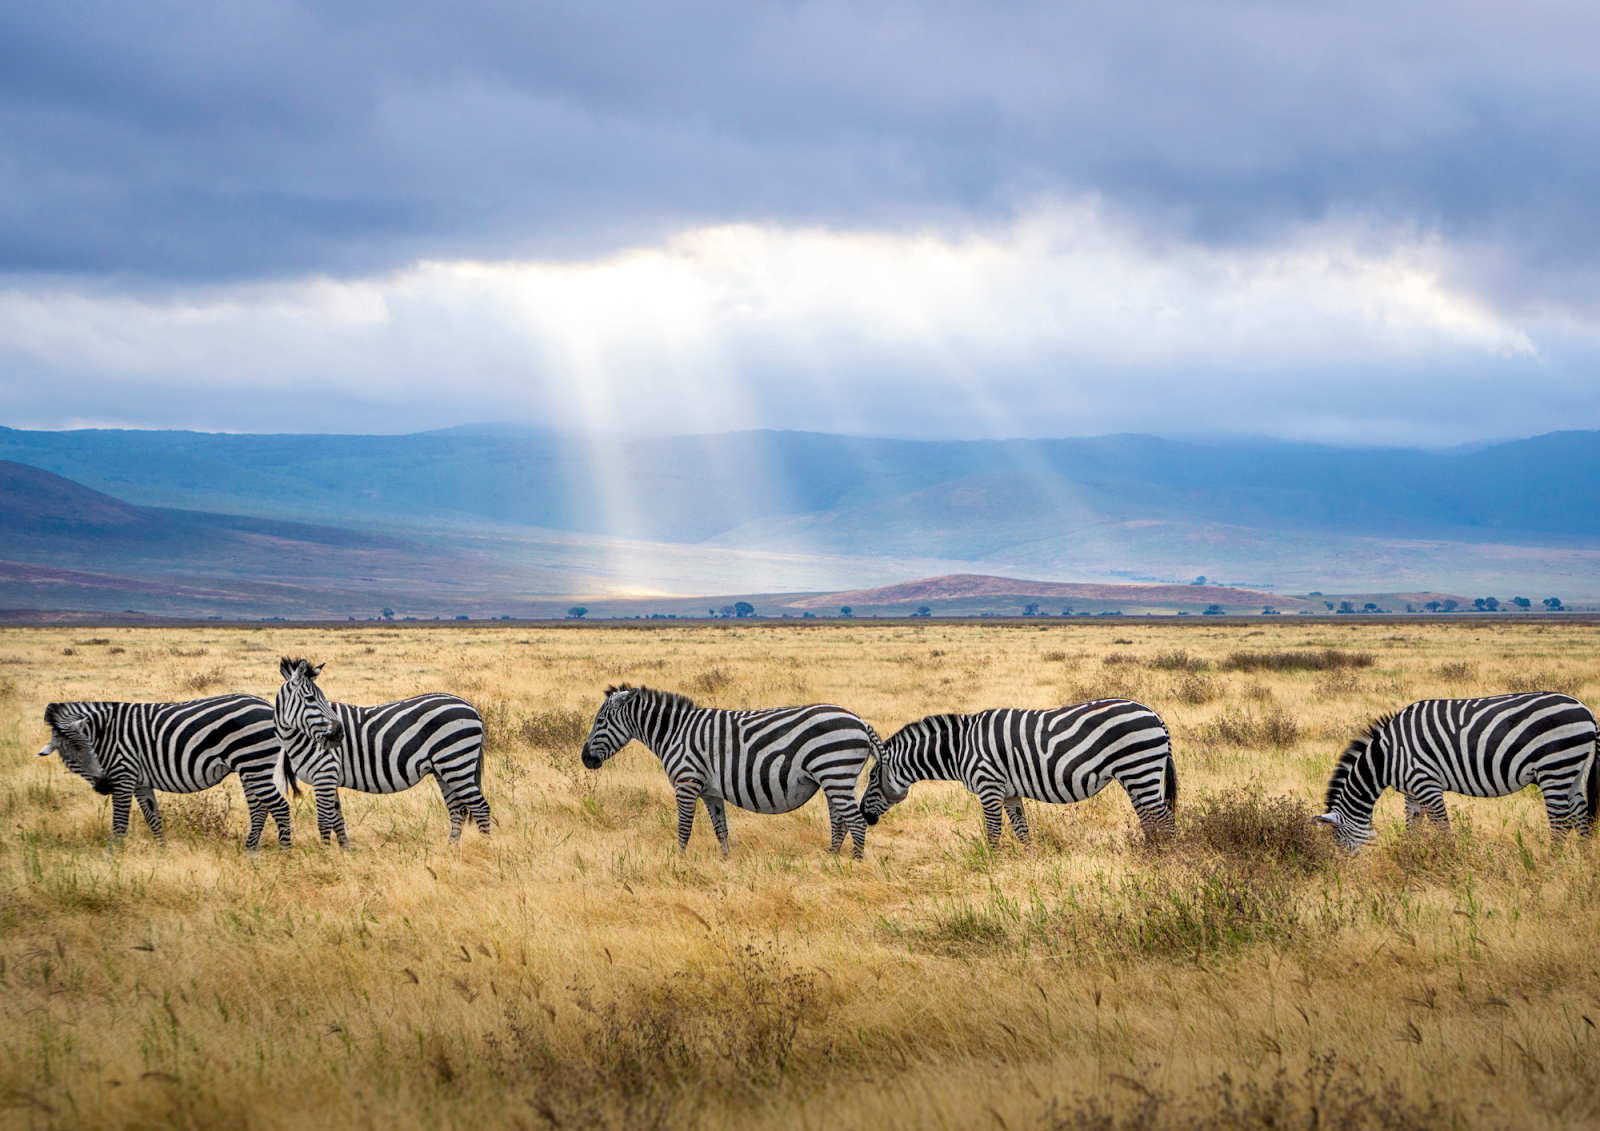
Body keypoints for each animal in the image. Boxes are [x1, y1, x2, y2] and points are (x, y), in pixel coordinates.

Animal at [36, 697, 291, 851]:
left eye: (91, 749)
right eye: (71, 760)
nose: (104, 786)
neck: (104, 734)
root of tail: (268, 705)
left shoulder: (123, 775)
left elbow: (120, 823)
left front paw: (114, 857)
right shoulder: (140, 782)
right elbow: (153, 818)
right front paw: (161, 850)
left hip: (254, 763)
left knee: (280, 807)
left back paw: (284, 854)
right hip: (250, 768)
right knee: (259, 809)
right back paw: (250, 851)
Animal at [275, 655, 489, 851]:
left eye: (323, 699)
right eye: (310, 699)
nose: (339, 734)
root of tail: (471, 707)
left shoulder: (324, 774)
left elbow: (324, 821)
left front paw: (325, 856)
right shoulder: (329, 777)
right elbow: (338, 820)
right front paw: (345, 853)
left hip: (456, 762)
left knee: (480, 807)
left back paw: (486, 847)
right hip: (443, 769)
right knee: (458, 810)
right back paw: (451, 849)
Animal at [579, 684, 876, 863]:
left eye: (600, 721)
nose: (585, 759)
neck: (675, 733)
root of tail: (860, 721)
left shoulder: (686, 783)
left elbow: (684, 827)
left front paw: (679, 862)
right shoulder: (711, 792)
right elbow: (720, 830)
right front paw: (725, 862)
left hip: (836, 773)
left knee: (856, 822)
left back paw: (855, 865)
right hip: (832, 780)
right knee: (839, 822)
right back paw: (831, 859)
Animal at [864, 697, 1177, 851]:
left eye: (870, 778)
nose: (865, 816)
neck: (959, 749)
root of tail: (1154, 714)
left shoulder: (988, 786)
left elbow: (993, 832)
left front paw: (991, 867)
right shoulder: (1010, 793)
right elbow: (1022, 830)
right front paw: (1030, 863)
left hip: (1139, 768)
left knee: (1163, 818)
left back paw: (1165, 859)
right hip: (1137, 775)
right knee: (1150, 818)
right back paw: (1151, 853)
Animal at [1318, 691, 1593, 851]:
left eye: (1340, 843)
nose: (1347, 873)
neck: (1386, 756)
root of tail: (1586, 710)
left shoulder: (1426, 783)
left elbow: (1442, 826)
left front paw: (1449, 860)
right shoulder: (1411, 790)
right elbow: (1412, 825)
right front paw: (1411, 856)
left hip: (1554, 768)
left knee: (1560, 822)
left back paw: (1550, 863)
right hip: (1574, 771)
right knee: (1581, 817)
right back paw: (1581, 865)